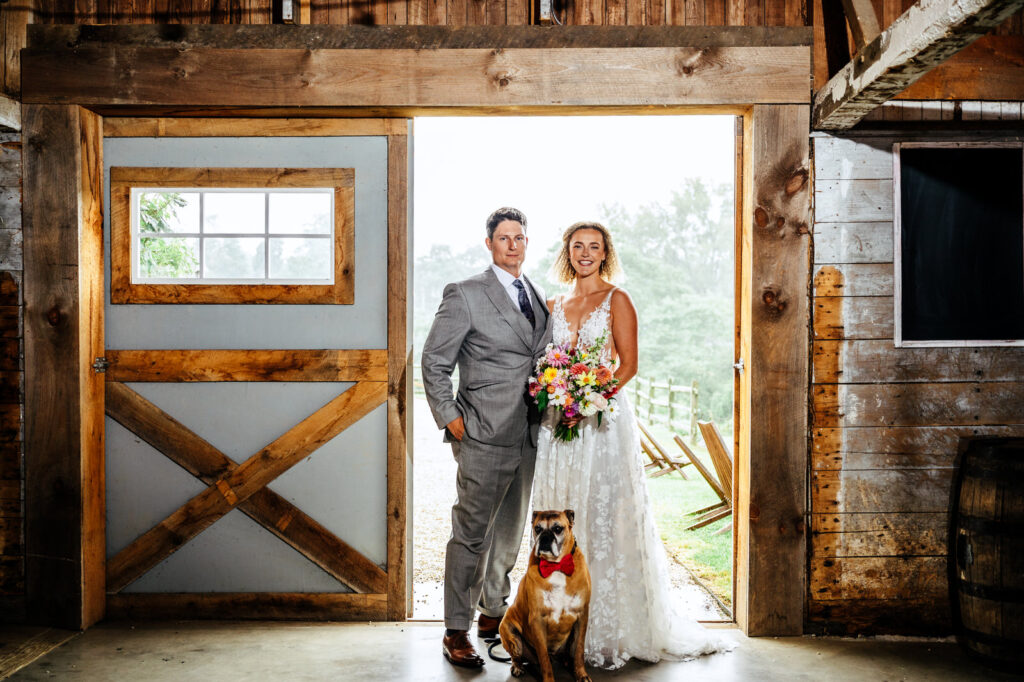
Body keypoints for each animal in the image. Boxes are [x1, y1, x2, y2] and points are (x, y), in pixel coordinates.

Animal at [497, 509, 593, 679]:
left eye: (557, 528)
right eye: (538, 529)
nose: (545, 538)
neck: (556, 566)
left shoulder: (582, 616)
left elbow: (579, 650)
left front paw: (581, 674)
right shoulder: (537, 620)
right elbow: (544, 659)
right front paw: (549, 678)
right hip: (508, 629)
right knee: (517, 655)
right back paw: (517, 667)